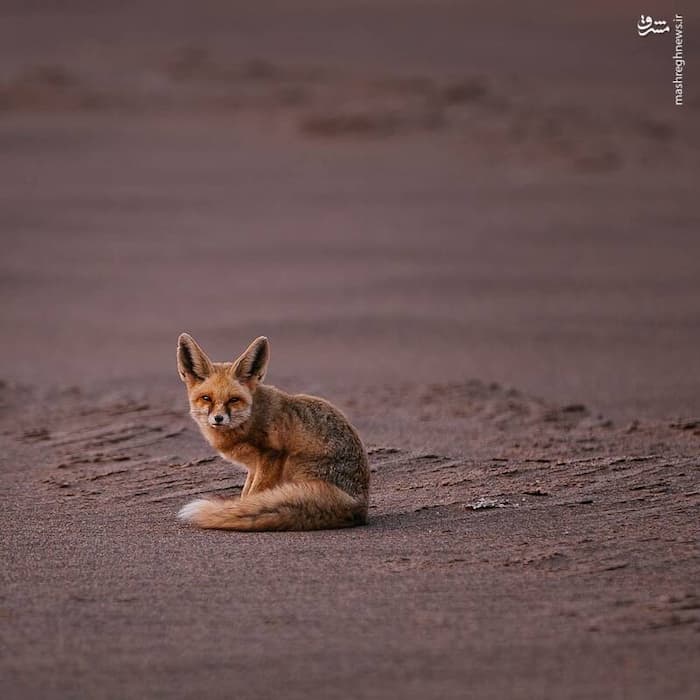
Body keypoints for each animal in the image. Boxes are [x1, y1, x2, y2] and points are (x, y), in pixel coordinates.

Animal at [176, 334, 372, 532]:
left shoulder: (272, 454)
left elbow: (254, 494)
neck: (250, 419)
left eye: (233, 400)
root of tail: (359, 507)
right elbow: (247, 494)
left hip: (292, 462)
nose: (218, 418)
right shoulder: (254, 467)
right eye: (206, 398)